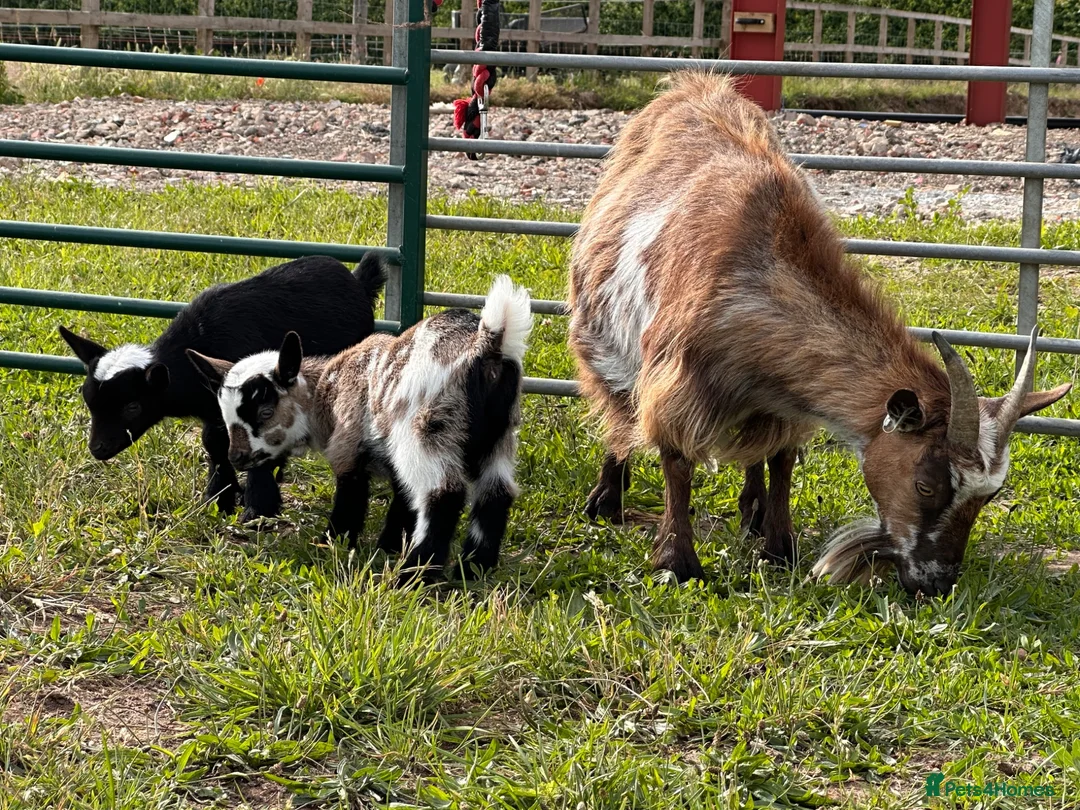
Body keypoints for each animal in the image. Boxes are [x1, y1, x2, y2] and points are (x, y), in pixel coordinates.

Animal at [59, 254, 386, 521]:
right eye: (89, 401)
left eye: (132, 406)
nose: (97, 448)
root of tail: (356, 277)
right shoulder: (215, 410)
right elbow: (214, 442)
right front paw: (220, 497)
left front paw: (257, 506)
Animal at [187, 275, 532, 582]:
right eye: (225, 415)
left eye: (265, 412)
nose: (237, 457)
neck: (326, 389)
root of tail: (486, 345)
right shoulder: (391, 458)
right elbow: (403, 500)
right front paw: (388, 544)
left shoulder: (348, 446)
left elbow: (351, 497)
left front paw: (331, 542)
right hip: (499, 436)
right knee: (496, 493)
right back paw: (474, 568)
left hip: (428, 431)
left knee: (443, 495)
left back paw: (415, 575)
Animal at [567, 72, 1071, 596]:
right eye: (925, 484)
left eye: (989, 496)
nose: (934, 582)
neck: (760, 268)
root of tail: (693, 85)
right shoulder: (674, 382)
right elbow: (676, 462)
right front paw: (677, 562)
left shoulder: (781, 394)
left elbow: (781, 459)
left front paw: (777, 547)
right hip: (600, 338)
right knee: (618, 412)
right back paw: (607, 497)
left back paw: (752, 511)